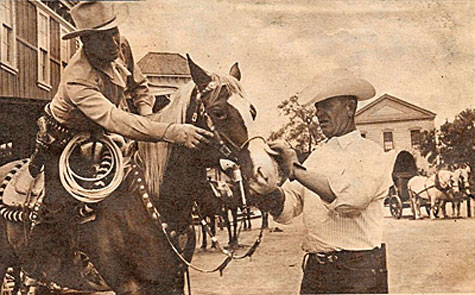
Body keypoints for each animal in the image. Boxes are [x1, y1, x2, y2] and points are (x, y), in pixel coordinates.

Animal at [0, 56, 276, 295]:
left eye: (252, 111)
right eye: (219, 112)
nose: (266, 172)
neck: (152, 203)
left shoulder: (172, 281)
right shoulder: (130, 286)